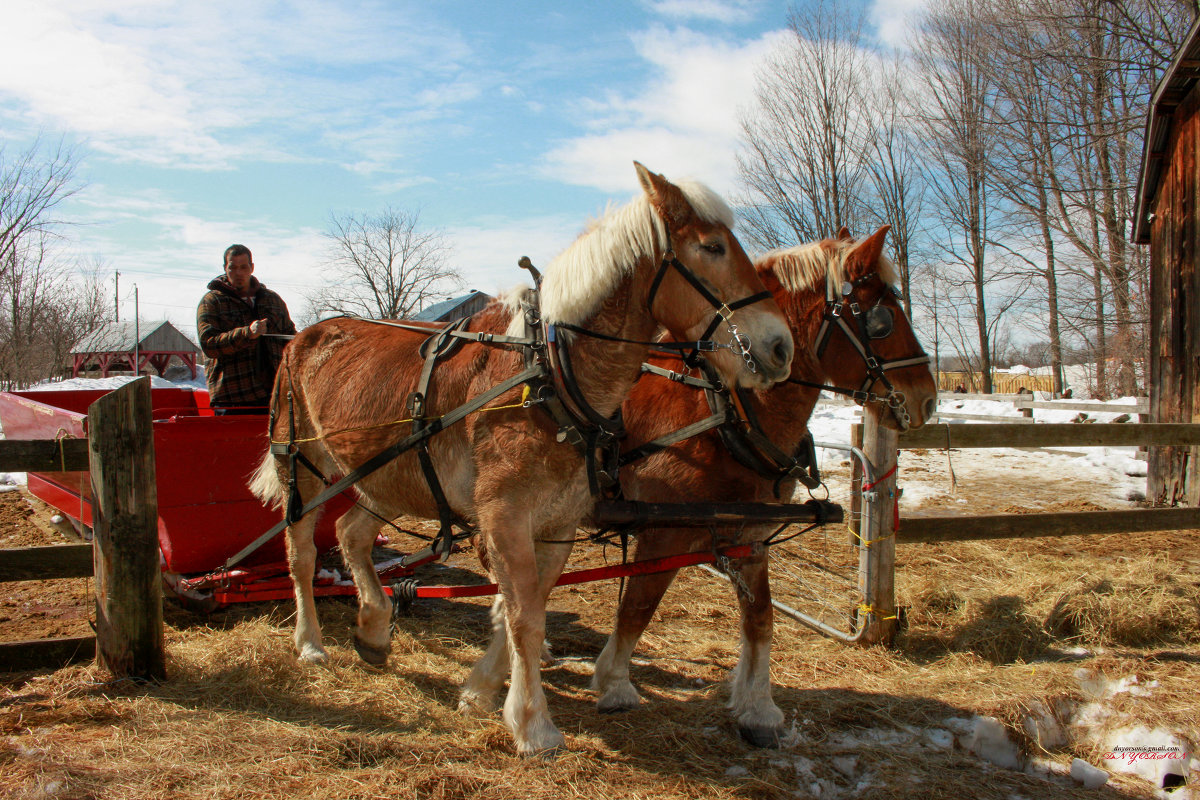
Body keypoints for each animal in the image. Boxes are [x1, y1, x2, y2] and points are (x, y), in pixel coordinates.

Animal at [249, 163, 796, 758]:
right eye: (712, 246)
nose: (780, 347)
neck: (549, 374)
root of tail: (301, 336)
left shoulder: (556, 523)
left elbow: (524, 607)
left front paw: (486, 693)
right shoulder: (505, 516)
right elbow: (525, 617)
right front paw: (533, 724)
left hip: (386, 478)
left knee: (351, 534)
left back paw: (372, 628)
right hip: (302, 468)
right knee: (302, 553)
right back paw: (309, 643)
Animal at [590, 224, 945, 743]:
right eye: (882, 317)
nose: (928, 399)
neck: (725, 413)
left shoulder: (751, 537)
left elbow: (761, 619)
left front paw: (758, 707)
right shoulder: (663, 535)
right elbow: (637, 607)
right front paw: (614, 684)